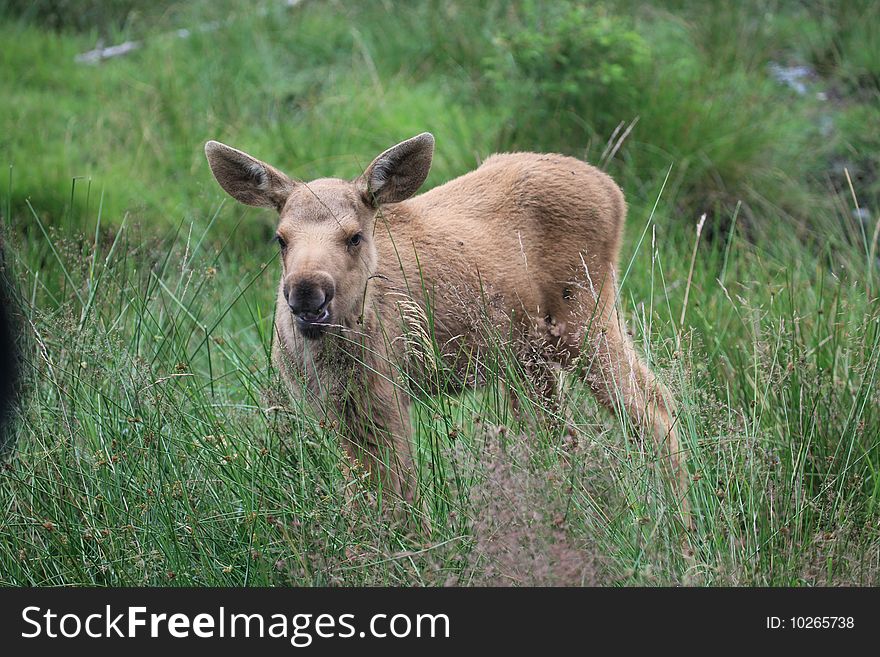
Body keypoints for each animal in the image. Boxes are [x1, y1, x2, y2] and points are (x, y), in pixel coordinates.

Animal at [206, 136, 688, 516]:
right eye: (281, 239)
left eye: (355, 236)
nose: (307, 292)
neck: (330, 356)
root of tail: (613, 190)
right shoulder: (332, 409)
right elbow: (362, 493)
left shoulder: (387, 392)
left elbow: (399, 493)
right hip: (528, 359)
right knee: (560, 436)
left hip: (586, 317)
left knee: (654, 406)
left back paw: (679, 526)